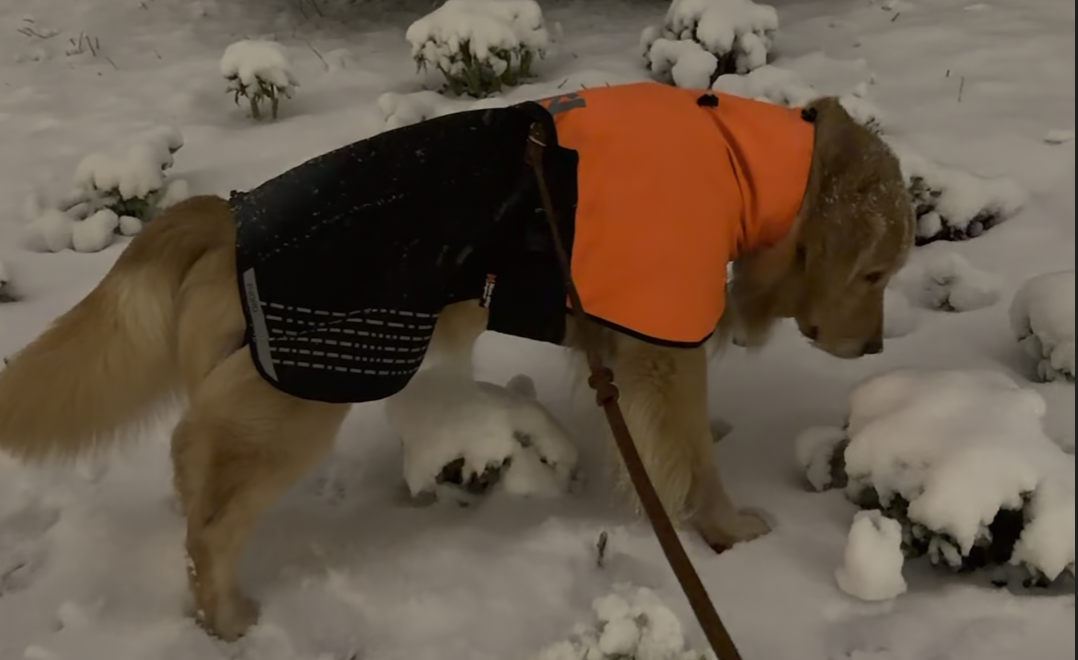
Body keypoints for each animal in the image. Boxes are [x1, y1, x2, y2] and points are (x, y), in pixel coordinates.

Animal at [0, 84, 914, 641]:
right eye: (875, 274)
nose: (873, 346)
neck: (734, 154)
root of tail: (224, 212)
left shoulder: (619, 341)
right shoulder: (661, 342)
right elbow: (688, 453)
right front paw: (726, 530)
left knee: (192, 466)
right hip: (304, 396)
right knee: (212, 520)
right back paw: (224, 617)